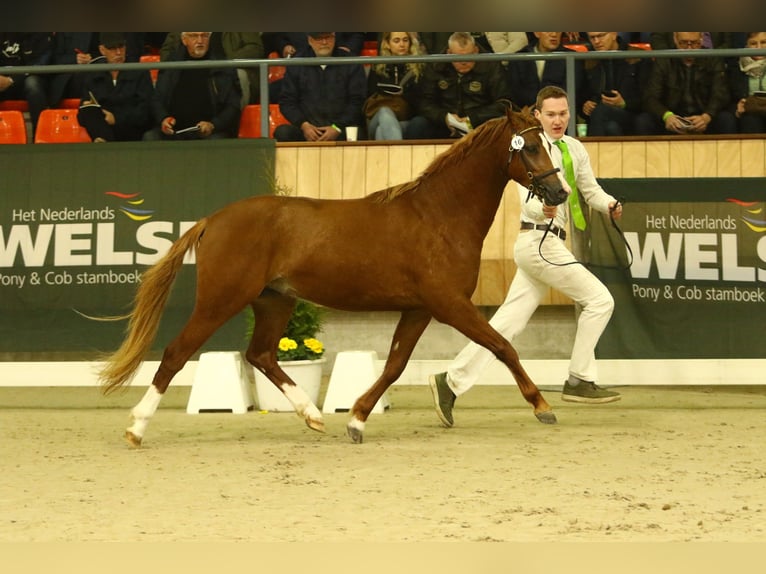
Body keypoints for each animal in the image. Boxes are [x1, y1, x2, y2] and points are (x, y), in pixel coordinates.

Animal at [100, 109, 568, 450]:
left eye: (549, 144)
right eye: (530, 147)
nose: (560, 193)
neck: (438, 215)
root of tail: (212, 220)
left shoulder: (419, 308)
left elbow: (395, 365)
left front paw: (357, 419)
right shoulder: (450, 304)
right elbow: (502, 346)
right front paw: (542, 406)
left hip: (275, 300)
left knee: (261, 355)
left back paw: (312, 415)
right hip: (222, 299)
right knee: (178, 353)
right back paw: (136, 428)